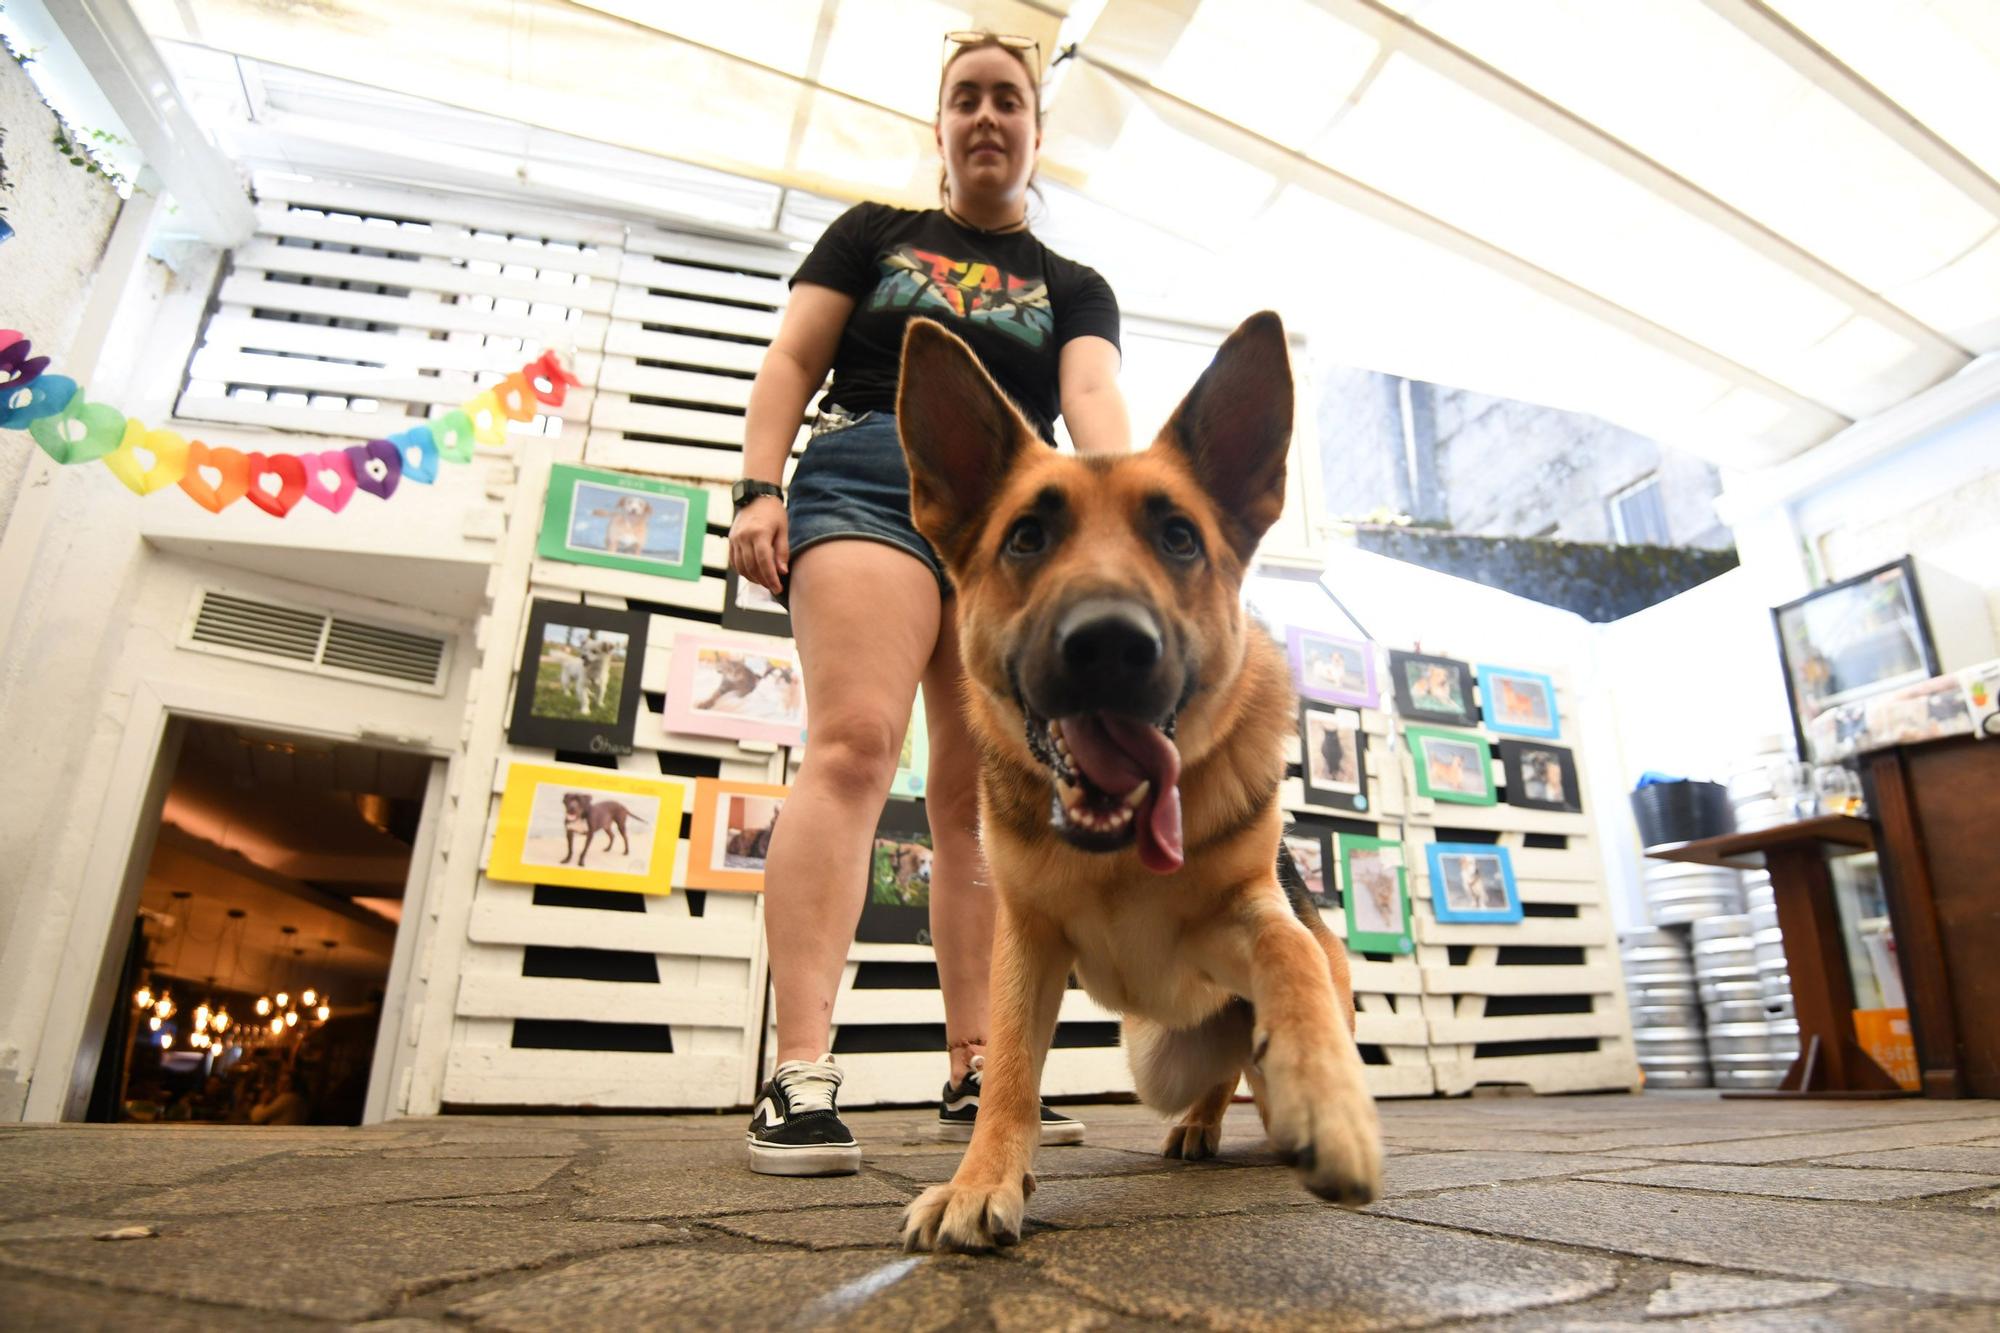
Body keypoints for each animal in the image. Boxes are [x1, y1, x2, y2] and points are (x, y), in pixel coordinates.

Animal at [900, 308, 1384, 1248]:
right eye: (1027, 536)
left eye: (1179, 537)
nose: (1109, 644)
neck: (1115, 854)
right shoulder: (1025, 942)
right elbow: (1008, 1065)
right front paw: (984, 1177)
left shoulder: (1250, 916)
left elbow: (1288, 956)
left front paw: (1330, 1099)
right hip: (1154, 1055)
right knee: (1214, 1073)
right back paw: (1197, 1123)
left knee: (1255, 1043)